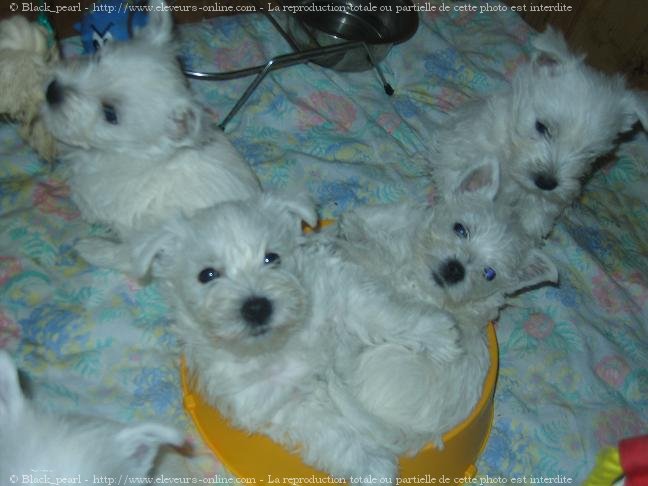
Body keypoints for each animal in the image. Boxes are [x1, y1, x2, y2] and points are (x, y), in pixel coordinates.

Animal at [124, 193, 460, 478]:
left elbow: (384, 315)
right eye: (207, 275)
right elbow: (331, 431)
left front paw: (440, 335)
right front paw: (373, 466)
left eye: (271, 257)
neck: (283, 340)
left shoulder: (342, 295)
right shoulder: (279, 403)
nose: (256, 307)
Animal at [430, 26, 648, 239]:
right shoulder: (466, 145)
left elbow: (537, 213)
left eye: (590, 153)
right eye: (542, 127)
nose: (546, 182)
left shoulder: (549, 198)